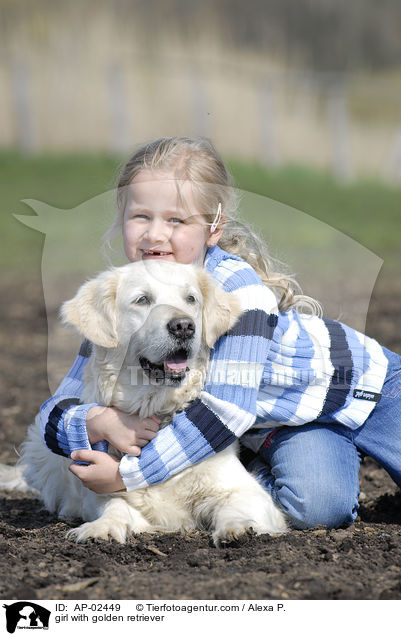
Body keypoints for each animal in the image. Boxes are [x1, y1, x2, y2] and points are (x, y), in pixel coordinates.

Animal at [1, 260, 286, 544]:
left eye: (191, 299)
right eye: (142, 300)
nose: (184, 326)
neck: (155, 407)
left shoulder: (243, 488)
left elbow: (238, 506)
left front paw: (240, 528)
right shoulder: (103, 490)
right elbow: (114, 505)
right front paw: (100, 528)